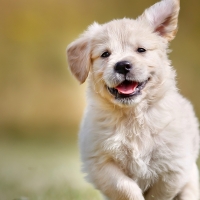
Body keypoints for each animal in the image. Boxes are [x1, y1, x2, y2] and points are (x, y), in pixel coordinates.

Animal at [66, 0, 199, 199]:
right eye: (105, 54)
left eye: (141, 50)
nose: (122, 65)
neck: (132, 116)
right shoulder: (100, 162)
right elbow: (125, 187)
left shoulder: (173, 168)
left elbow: (157, 194)